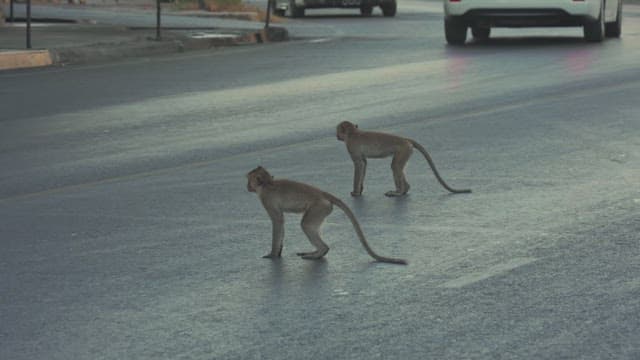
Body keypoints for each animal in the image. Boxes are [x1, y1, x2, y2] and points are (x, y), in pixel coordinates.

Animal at [248, 166, 408, 264]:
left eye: (249, 178)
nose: (247, 186)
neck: (267, 184)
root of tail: (322, 193)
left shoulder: (267, 199)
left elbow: (278, 221)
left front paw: (273, 253)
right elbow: (280, 222)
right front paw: (278, 251)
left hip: (319, 207)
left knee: (306, 225)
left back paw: (321, 251)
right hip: (322, 210)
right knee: (311, 226)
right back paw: (317, 251)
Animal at [336, 121, 470, 197]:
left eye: (338, 131)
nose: (336, 135)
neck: (352, 132)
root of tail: (406, 139)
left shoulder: (351, 147)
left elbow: (359, 165)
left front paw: (356, 192)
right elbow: (364, 163)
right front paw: (360, 190)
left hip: (404, 150)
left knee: (395, 166)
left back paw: (399, 192)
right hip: (406, 151)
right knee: (396, 167)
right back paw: (405, 189)